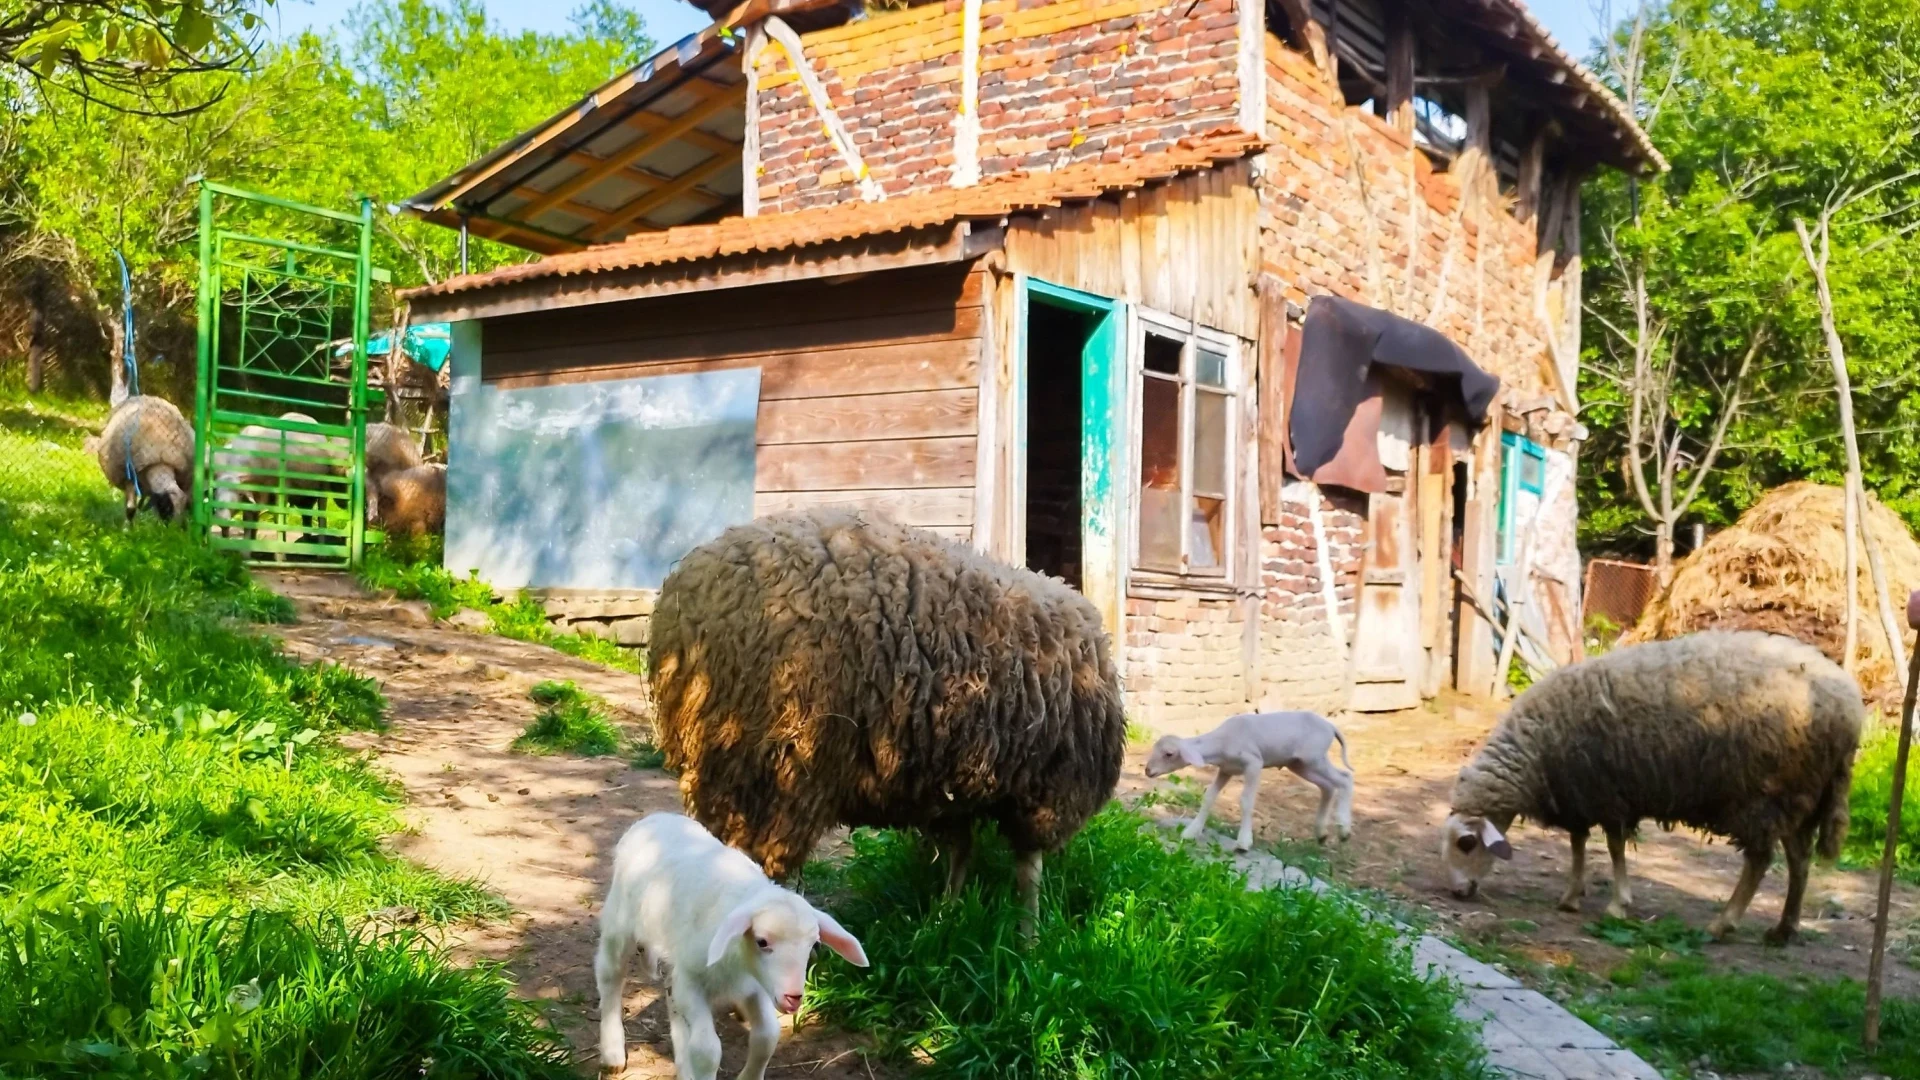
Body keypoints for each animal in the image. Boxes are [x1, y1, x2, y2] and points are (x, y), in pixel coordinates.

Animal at [595, 810, 875, 1068]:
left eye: (813, 944)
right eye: (762, 941)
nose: (793, 997)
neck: (737, 959)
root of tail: (655, 816)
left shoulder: (755, 985)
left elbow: (767, 1037)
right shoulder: (691, 982)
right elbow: (707, 1051)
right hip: (618, 924)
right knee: (610, 975)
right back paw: (612, 1052)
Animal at [1144, 707, 1359, 849]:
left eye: (1169, 754)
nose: (1147, 771)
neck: (1221, 742)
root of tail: (1331, 726)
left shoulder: (1254, 764)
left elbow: (1246, 801)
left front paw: (1243, 842)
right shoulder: (1226, 770)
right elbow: (1209, 797)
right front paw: (1191, 832)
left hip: (1314, 756)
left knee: (1345, 778)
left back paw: (1344, 830)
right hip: (1301, 764)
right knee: (1328, 787)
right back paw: (1322, 834)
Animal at [1443, 626, 1858, 937]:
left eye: (1466, 843)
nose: (1456, 892)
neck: (1536, 749)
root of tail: (1850, 706)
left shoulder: (1608, 792)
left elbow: (1613, 847)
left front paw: (1617, 904)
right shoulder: (1580, 793)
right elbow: (1578, 845)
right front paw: (1572, 895)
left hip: (1768, 795)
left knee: (1759, 860)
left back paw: (1724, 923)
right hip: (1803, 795)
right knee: (1799, 860)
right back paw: (1784, 929)